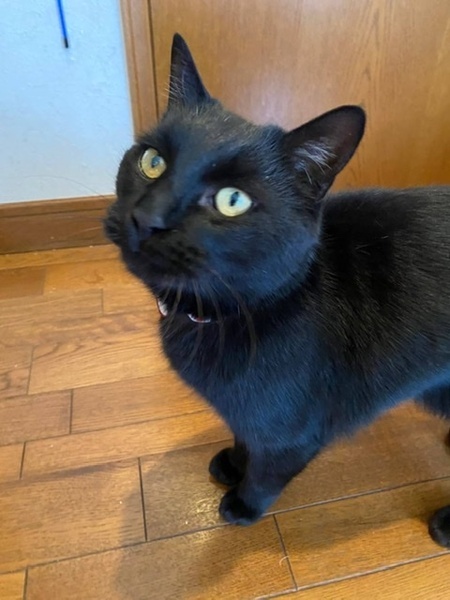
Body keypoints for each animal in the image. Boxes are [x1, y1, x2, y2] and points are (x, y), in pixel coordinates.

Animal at [104, 34, 450, 548]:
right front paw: (232, 463)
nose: (147, 218)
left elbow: (268, 473)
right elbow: (243, 435)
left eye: (233, 200)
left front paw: (243, 506)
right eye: (152, 161)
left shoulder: (293, 434)